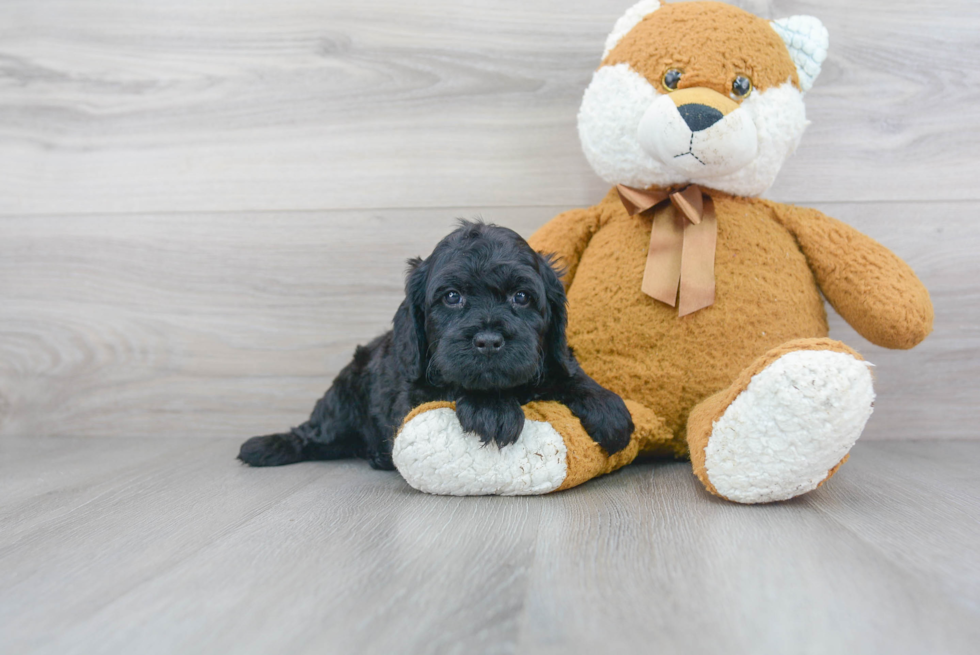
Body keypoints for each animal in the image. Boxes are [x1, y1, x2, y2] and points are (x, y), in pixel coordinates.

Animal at [241, 223, 632, 468]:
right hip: (342, 397)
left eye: (521, 297)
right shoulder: (414, 392)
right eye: (452, 297)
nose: (488, 341)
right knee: (316, 432)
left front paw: (609, 408)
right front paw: (492, 409)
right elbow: (456, 384)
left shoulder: (548, 358)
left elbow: (567, 372)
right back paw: (268, 446)